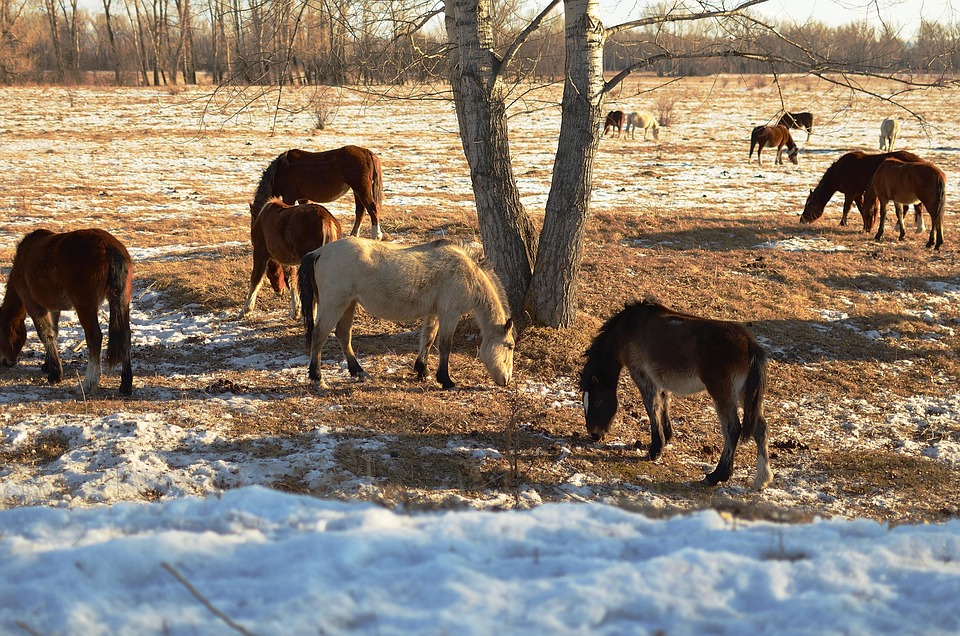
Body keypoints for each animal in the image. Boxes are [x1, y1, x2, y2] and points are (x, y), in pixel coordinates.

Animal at [0, 228, 133, 395]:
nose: (5, 361)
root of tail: (109, 246)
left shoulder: (33, 305)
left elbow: (46, 334)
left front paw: (55, 374)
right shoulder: (54, 309)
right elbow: (54, 332)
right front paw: (48, 365)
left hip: (85, 306)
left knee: (94, 338)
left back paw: (88, 384)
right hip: (122, 301)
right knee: (125, 336)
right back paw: (126, 384)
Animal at [251, 146, 384, 241]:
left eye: (255, 216)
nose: (253, 238)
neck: (280, 169)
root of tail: (367, 152)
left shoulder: (289, 197)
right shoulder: (302, 198)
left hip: (361, 189)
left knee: (372, 208)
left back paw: (376, 235)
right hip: (357, 190)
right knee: (360, 211)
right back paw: (354, 235)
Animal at [298, 237, 514, 390]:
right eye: (510, 346)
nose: (507, 380)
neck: (468, 274)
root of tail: (319, 252)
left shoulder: (434, 313)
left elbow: (428, 339)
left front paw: (423, 371)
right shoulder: (450, 314)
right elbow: (444, 345)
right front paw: (445, 380)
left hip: (348, 304)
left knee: (343, 335)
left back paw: (359, 372)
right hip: (334, 304)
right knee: (319, 336)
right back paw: (318, 379)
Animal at [580, 299, 772, 490]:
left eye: (596, 401)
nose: (594, 435)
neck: (629, 327)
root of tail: (750, 344)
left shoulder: (641, 374)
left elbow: (652, 406)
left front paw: (655, 449)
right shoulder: (659, 379)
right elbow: (664, 403)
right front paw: (666, 437)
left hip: (723, 394)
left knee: (732, 429)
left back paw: (717, 475)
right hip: (744, 395)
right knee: (760, 429)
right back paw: (761, 479)